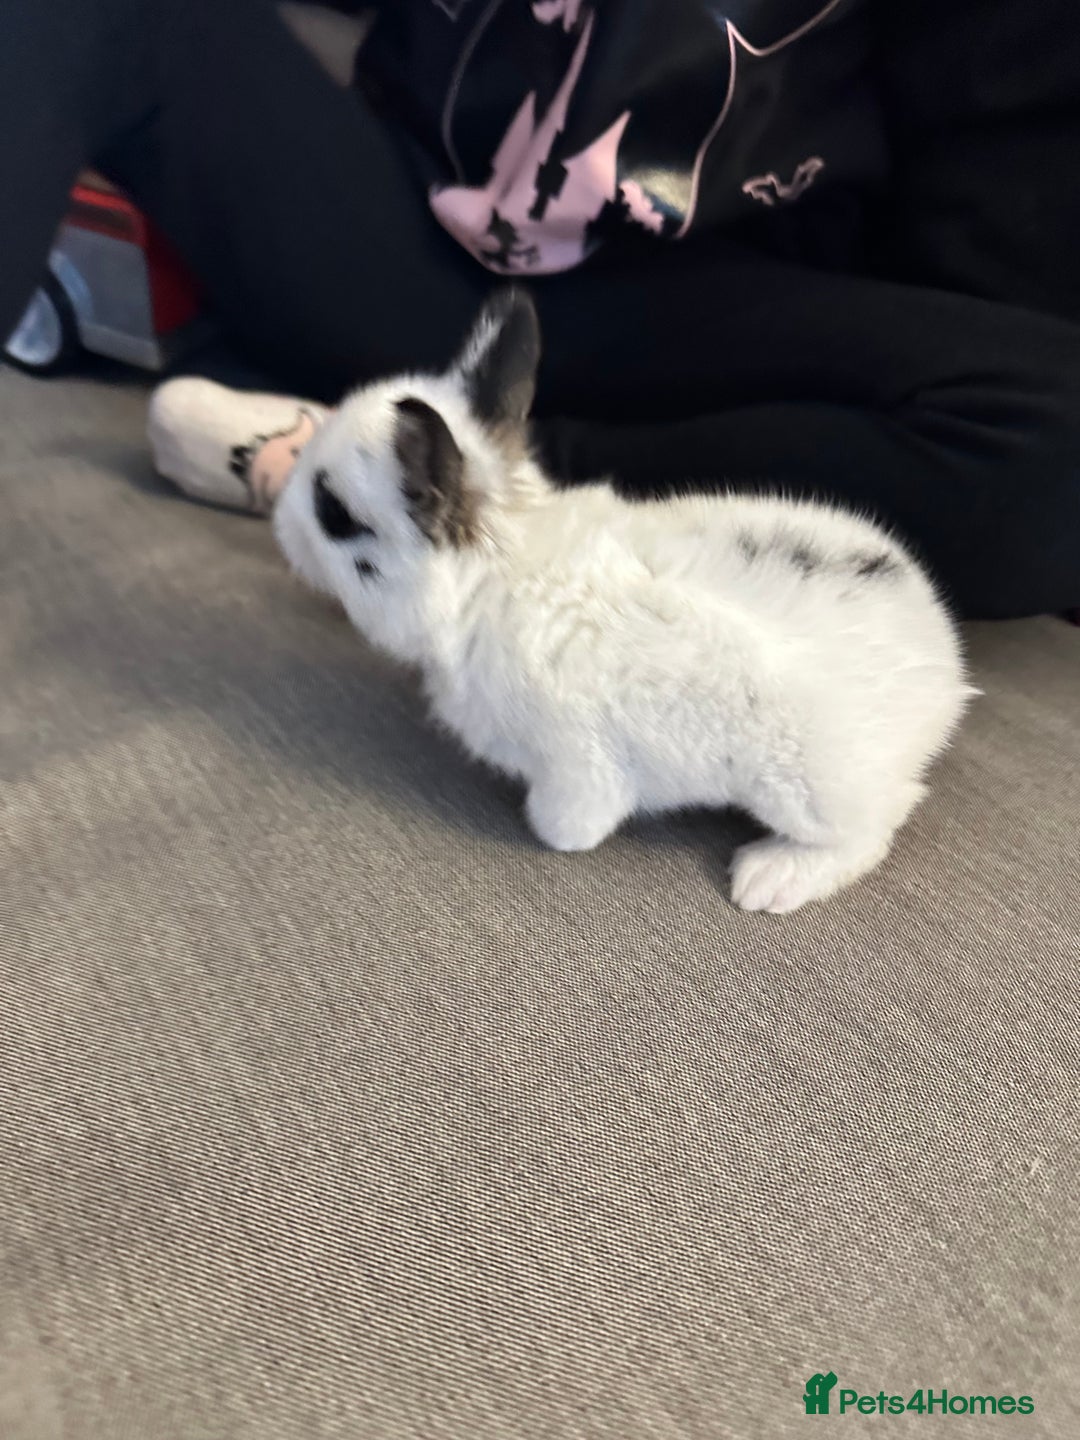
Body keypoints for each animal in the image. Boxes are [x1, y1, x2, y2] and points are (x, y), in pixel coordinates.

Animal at [274, 289, 974, 913]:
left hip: (807, 790)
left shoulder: (577, 760)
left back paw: (766, 879)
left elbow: (571, 823)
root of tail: (946, 666)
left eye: (334, 513)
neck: (496, 575)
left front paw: (547, 830)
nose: (280, 523)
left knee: (878, 825)